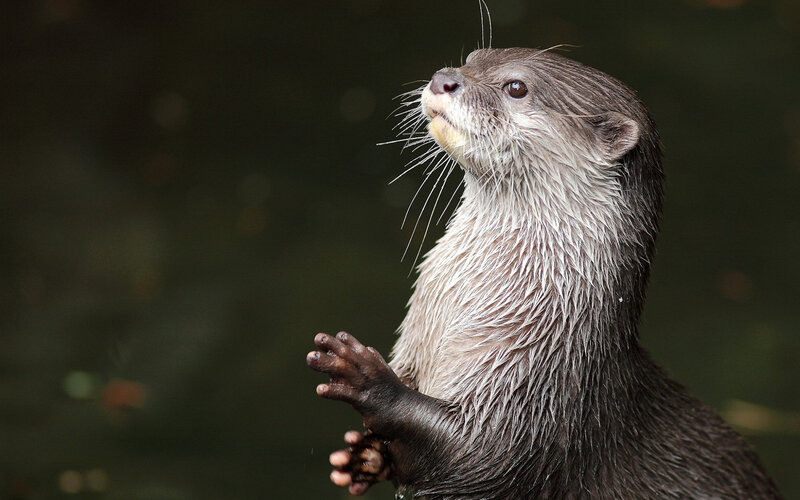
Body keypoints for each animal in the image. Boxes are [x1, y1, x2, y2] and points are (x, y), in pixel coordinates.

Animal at [307, 48, 781, 499]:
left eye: (516, 87)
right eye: (473, 58)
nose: (444, 78)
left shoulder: (537, 397)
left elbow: (479, 456)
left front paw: (366, 377)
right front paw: (362, 456)